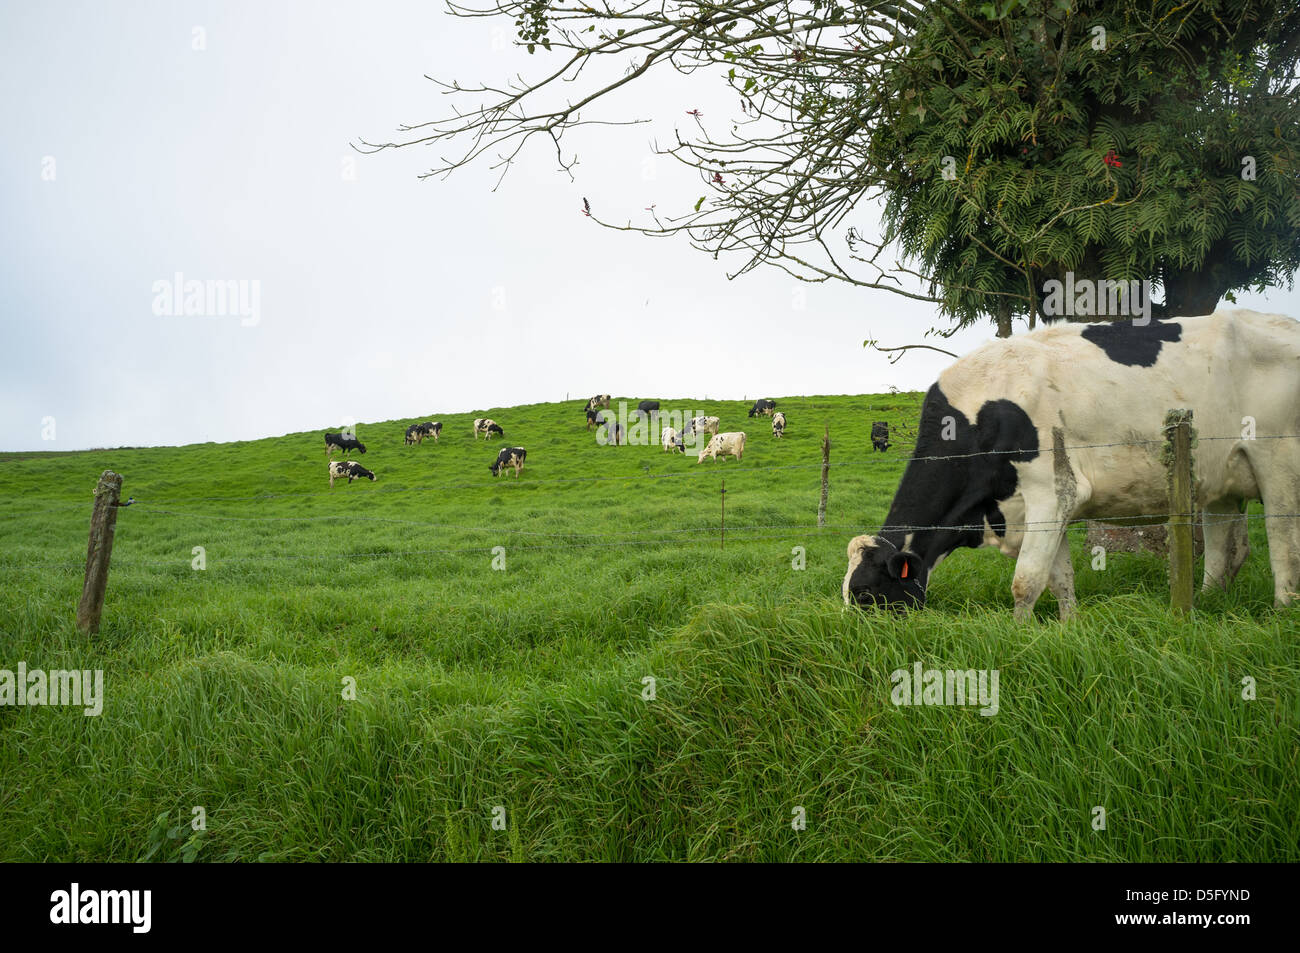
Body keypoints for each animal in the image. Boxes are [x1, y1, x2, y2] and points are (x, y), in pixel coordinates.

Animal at [842, 310, 1300, 621]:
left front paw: (1018, 636)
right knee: (1228, 550)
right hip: (1221, 478)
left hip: (1278, 459)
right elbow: (1059, 578)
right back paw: (1207, 604)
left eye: (864, 594)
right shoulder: (1043, 507)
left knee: (1282, 540)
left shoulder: (1052, 489)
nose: (851, 639)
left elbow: (1026, 581)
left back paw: (1282, 612)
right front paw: (1067, 628)